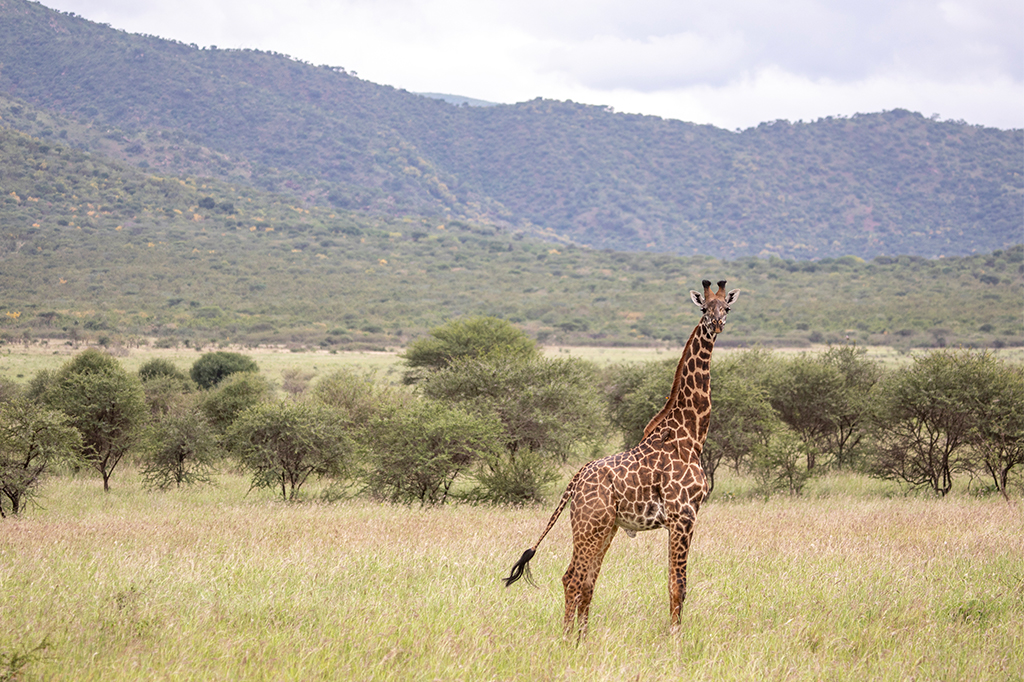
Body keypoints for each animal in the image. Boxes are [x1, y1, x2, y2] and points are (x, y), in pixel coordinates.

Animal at [501, 278, 737, 638]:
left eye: (726, 307)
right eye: (703, 309)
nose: (717, 324)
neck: (691, 435)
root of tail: (574, 480)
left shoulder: (682, 518)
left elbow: (676, 583)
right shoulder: (683, 515)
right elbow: (678, 584)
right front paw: (676, 638)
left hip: (605, 527)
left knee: (586, 580)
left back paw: (582, 637)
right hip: (590, 524)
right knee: (572, 577)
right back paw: (568, 638)